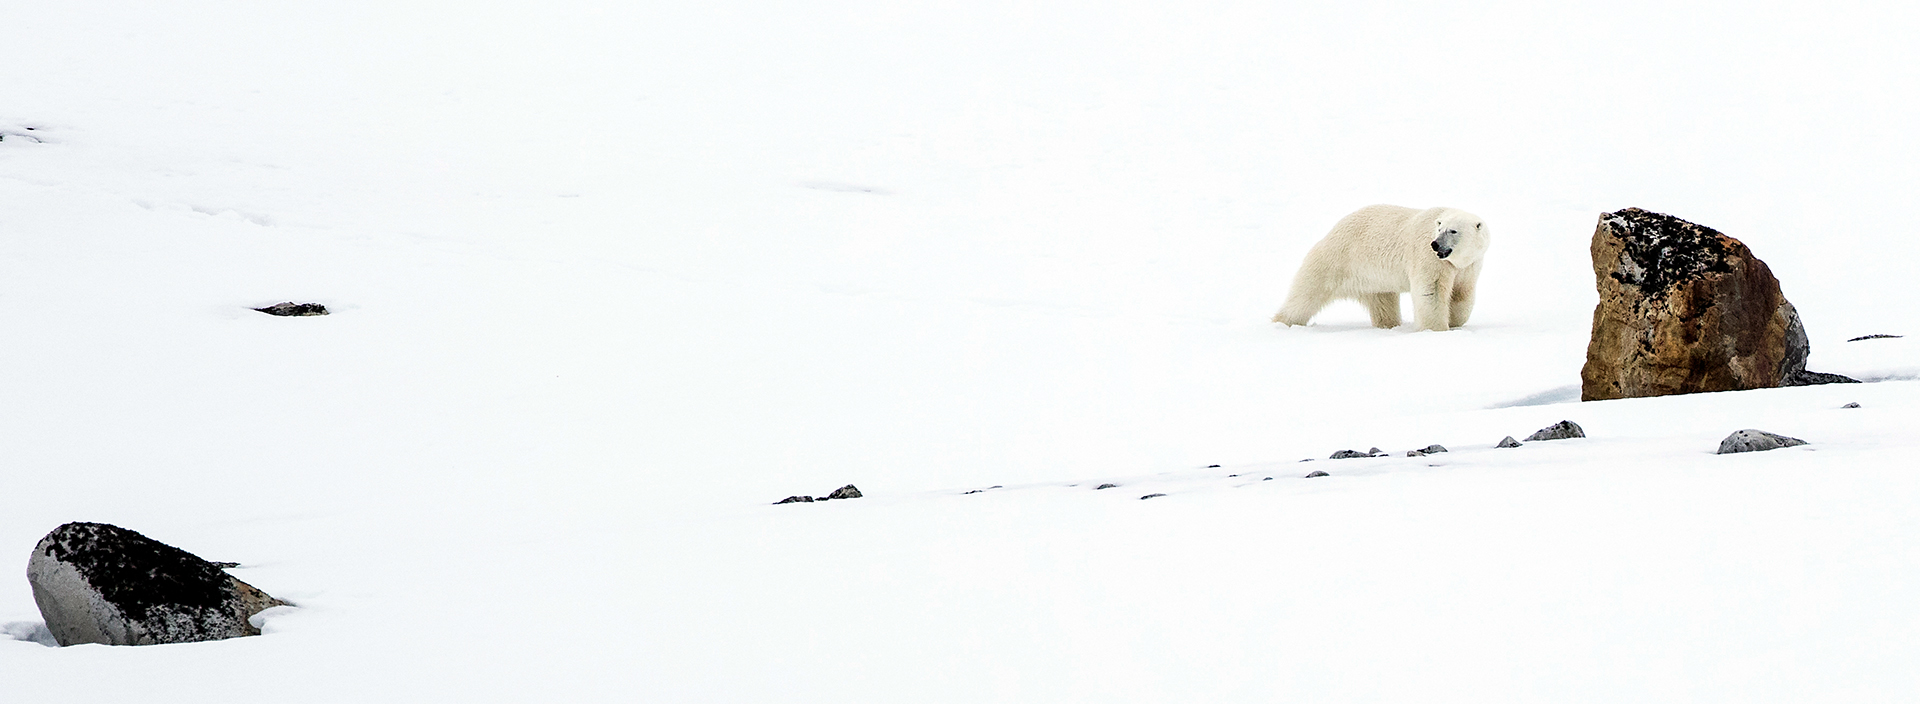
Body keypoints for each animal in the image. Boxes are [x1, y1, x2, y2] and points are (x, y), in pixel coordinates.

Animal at [1274, 205, 1482, 331]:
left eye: (1453, 230)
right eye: (1439, 229)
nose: (1435, 244)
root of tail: (1332, 230)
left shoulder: (1469, 267)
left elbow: (1462, 293)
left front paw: (1454, 321)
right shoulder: (1428, 259)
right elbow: (1432, 292)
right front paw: (1436, 329)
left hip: (1373, 279)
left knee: (1383, 303)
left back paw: (1389, 325)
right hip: (1335, 261)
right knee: (1304, 296)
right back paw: (1282, 322)